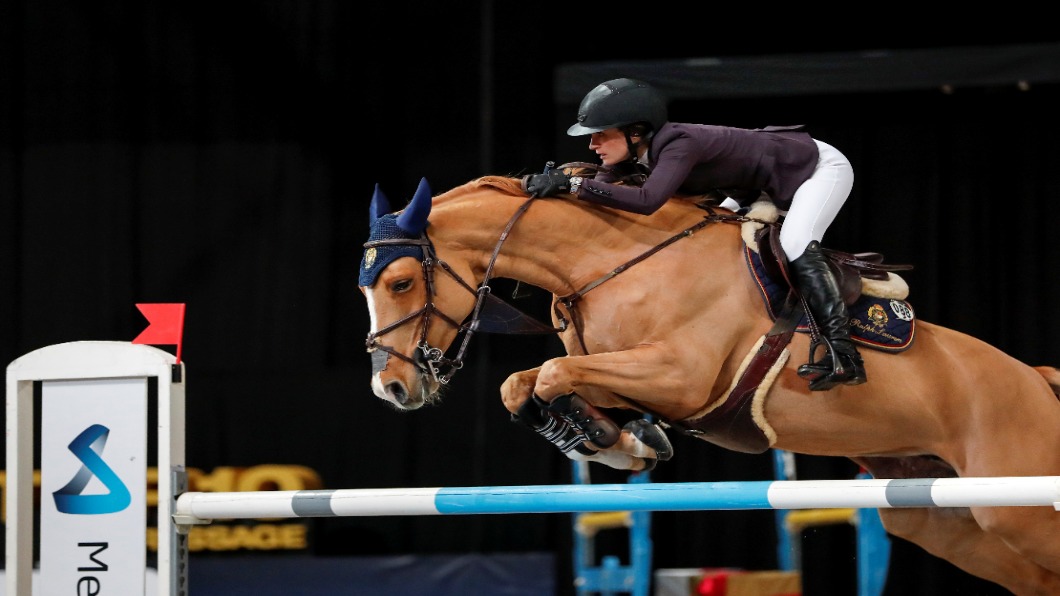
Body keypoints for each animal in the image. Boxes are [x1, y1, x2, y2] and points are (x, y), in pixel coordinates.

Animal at [358, 174, 1060, 595]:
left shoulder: (682, 375)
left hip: (1015, 503)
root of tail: (1037, 381)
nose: (391, 388)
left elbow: (551, 374)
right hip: (946, 518)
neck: (609, 260)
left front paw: (618, 443)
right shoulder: (625, 370)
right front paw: (617, 439)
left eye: (400, 282)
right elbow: (529, 384)